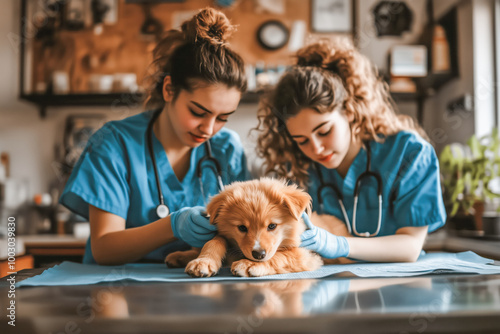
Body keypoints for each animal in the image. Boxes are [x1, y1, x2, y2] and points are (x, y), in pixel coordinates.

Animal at [181, 179, 352, 278]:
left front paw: (250, 265)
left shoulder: (306, 254)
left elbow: (281, 256)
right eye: (242, 227)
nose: (258, 255)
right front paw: (203, 261)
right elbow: (214, 240)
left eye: (272, 226)